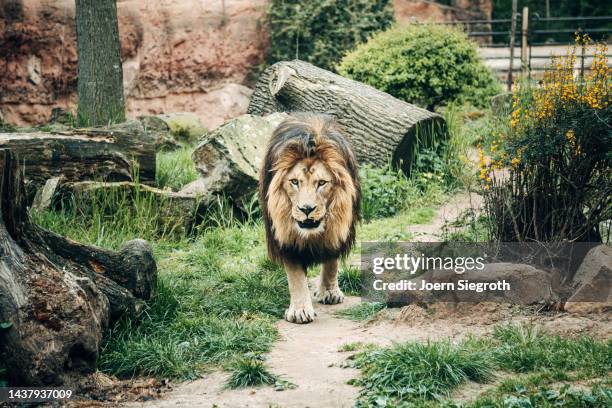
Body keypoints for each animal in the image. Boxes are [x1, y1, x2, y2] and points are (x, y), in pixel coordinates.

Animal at [256, 113, 358, 324]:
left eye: (322, 183)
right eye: (295, 182)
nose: (306, 209)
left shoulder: (337, 228)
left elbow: (331, 263)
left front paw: (329, 292)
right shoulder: (285, 237)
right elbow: (295, 276)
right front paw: (300, 311)